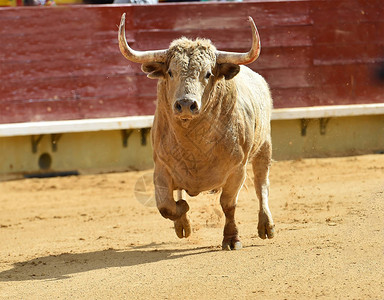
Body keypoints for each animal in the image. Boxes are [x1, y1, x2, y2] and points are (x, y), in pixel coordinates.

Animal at [118, 12, 274, 250]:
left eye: (208, 74)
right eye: (170, 72)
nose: (185, 104)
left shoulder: (237, 170)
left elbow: (228, 205)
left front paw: (232, 239)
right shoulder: (161, 167)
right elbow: (166, 205)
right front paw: (182, 213)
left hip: (264, 146)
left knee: (261, 184)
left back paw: (266, 226)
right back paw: (182, 225)